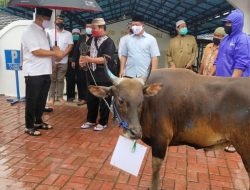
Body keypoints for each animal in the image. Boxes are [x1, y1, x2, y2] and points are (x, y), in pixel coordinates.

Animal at [88, 67, 250, 189]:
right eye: (121, 100)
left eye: (141, 101)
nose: (135, 132)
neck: (150, 106)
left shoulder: (160, 141)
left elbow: (155, 172)